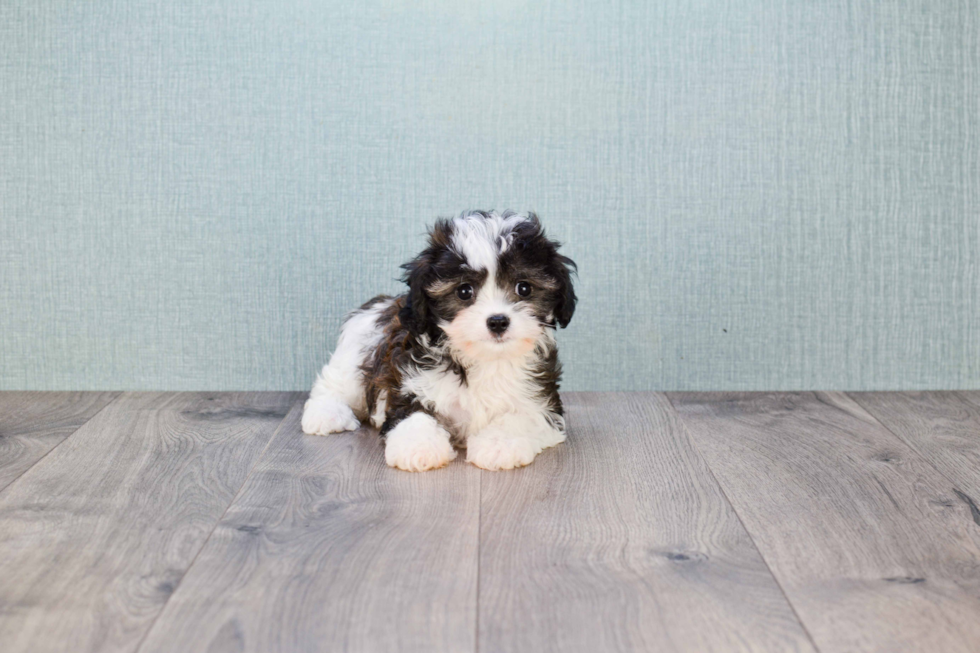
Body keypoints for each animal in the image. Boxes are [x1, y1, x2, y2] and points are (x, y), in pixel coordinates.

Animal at [298, 211, 576, 472]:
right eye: (464, 291)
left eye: (524, 288)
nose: (497, 321)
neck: (483, 359)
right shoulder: (409, 384)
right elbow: (414, 414)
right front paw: (418, 446)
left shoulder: (543, 400)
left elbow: (521, 416)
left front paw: (499, 444)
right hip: (355, 353)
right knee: (334, 385)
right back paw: (326, 414)